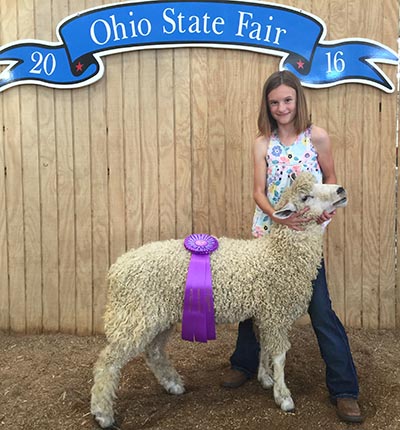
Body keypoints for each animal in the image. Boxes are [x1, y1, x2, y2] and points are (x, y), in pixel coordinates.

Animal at [90, 171, 346, 426]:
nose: (341, 190)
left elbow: (264, 347)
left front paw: (265, 378)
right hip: (134, 315)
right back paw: (103, 413)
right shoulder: (276, 312)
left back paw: (173, 384)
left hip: (159, 316)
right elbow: (280, 355)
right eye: (305, 197)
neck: (278, 253)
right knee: (108, 361)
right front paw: (283, 396)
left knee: (154, 352)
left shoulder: (265, 312)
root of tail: (116, 268)